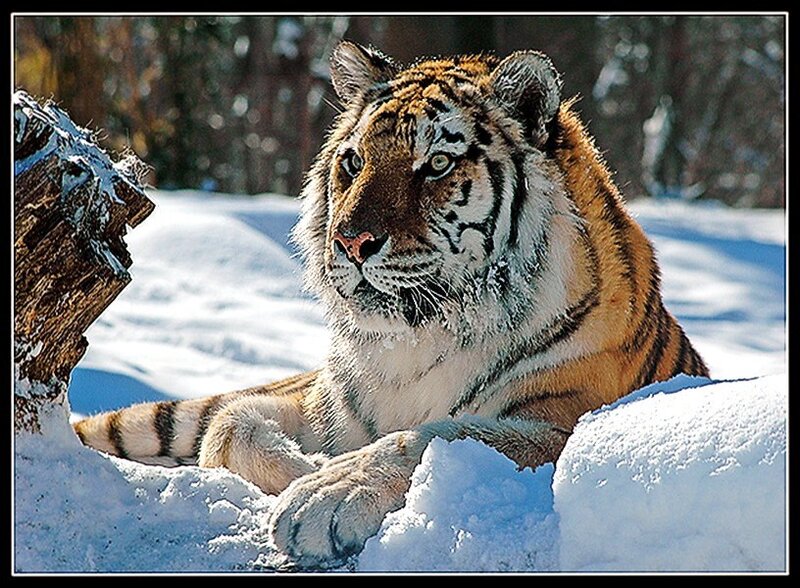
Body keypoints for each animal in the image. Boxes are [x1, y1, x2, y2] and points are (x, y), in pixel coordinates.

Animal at [74, 41, 709, 568]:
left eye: (437, 165)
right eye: (354, 162)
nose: (350, 241)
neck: (418, 336)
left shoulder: (564, 424)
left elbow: (440, 434)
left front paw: (326, 495)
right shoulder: (323, 406)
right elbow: (233, 426)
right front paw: (308, 471)